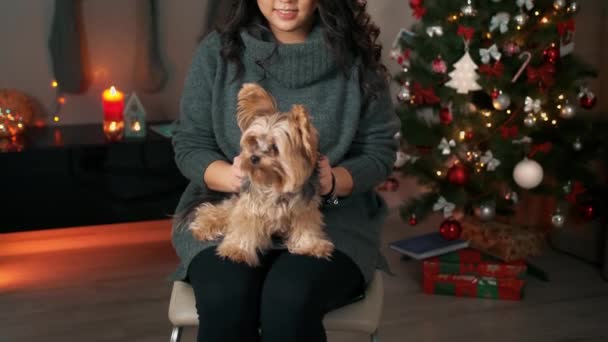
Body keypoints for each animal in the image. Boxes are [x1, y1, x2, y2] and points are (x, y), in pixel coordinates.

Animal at [189, 83, 332, 268]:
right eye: (254, 140)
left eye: (275, 147)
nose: (253, 157)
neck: (274, 182)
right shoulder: (250, 205)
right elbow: (244, 226)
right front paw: (237, 249)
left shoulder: (304, 208)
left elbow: (306, 226)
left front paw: (311, 245)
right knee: (223, 210)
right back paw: (204, 225)